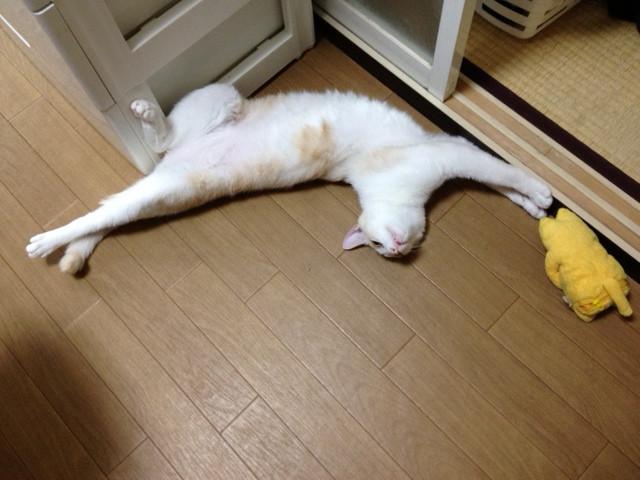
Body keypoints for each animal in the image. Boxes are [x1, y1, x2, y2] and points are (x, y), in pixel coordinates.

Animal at [26, 83, 552, 274]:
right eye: (375, 245)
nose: (396, 252)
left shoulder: (452, 153)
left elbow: (503, 182)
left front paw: (535, 207)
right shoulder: (448, 153)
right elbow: (502, 172)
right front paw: (543, 193)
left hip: (168, 188)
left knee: (111, 209)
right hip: (217, 101)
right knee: (154, 142)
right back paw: (44, 241)